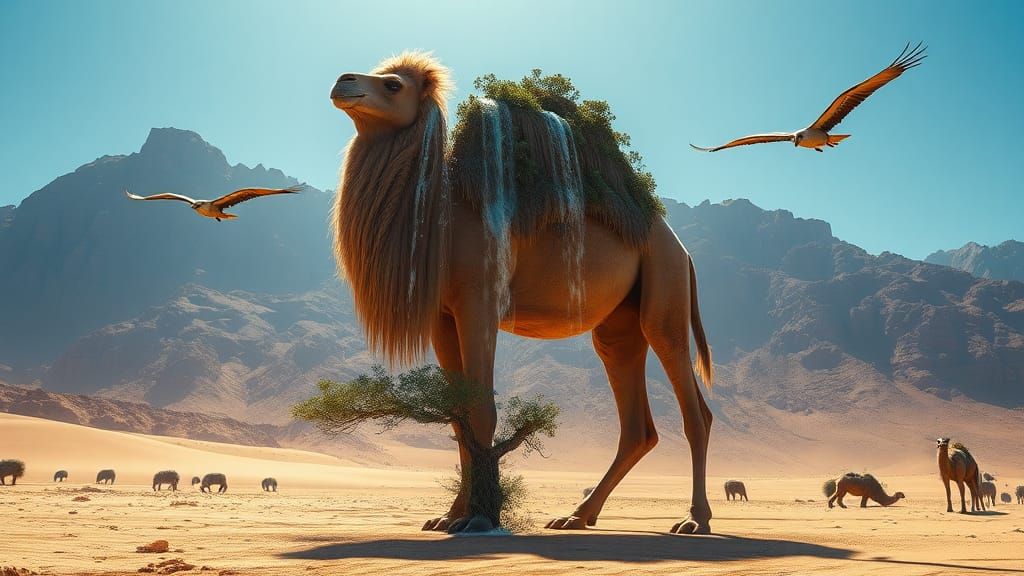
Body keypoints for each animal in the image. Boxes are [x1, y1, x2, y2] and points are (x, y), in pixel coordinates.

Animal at [329, 52, 714, 534]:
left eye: (393, 85)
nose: (343, 82)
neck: (444, 213)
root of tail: (683, 250)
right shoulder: (442, 317)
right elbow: (456, 415)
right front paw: (449, 517)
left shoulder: (479, 303)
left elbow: (480, 411)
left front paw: (477, 517)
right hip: (619, 325)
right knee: (636, 423)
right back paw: (576, 515)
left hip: (664, 287)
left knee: (694, 410)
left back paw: (695, 520)